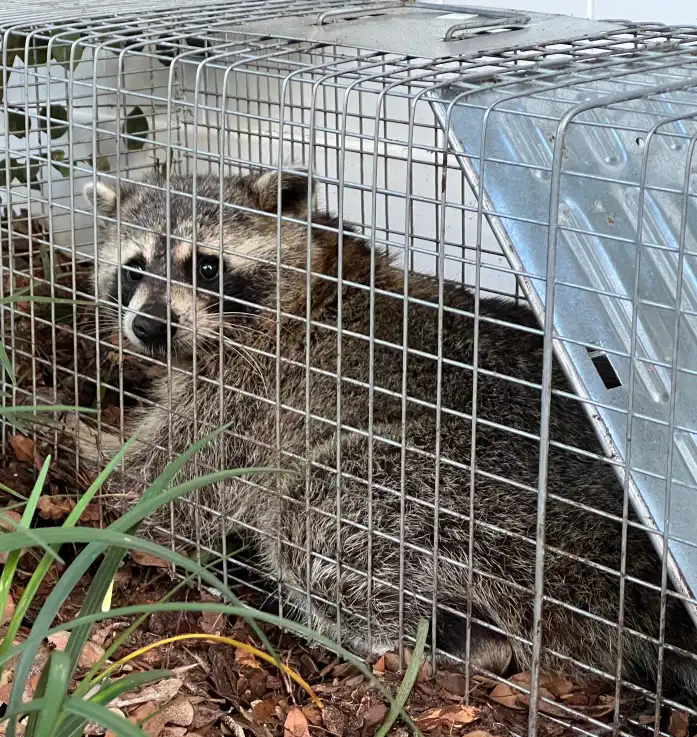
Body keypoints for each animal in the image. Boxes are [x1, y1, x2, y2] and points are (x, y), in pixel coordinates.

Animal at [69, 167, 696, 708]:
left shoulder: (249, 400)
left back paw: (443, 637)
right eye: (133, 268)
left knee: (310, 511)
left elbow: (162, 489)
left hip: (453, 487)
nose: (148, 325)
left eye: (204, 268)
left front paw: (80, 450)